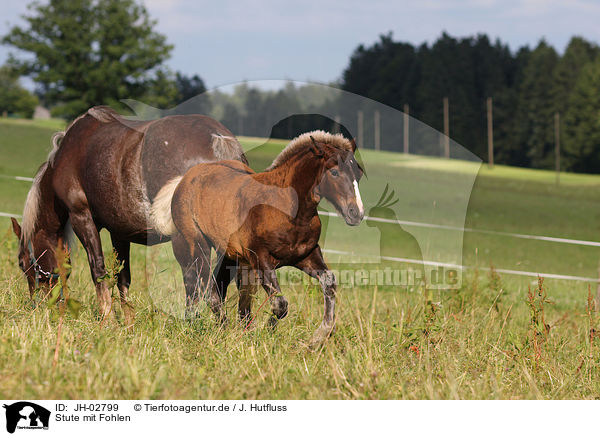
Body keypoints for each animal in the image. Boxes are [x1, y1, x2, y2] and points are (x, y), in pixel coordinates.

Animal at [9, 107, 245, 322]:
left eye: (21, 263)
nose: (39, 305)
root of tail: (218, 140)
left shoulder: (81, 217)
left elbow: (98, 269)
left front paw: (108, 319)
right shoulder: (120, 232)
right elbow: (123, 277)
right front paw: (128, 324)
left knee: (201, 284)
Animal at [152, 129, 364, 344]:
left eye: (358, 174)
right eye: (334, 172)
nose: (356, 213)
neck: (287, 208)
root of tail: (185, 178)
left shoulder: (306, 255)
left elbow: (328, 282)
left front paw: (318, 337)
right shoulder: (260, 257)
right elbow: (280, 304)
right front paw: (265, 333)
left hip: (229, 255)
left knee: (215, 289)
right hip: (194, 245)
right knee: (199, 286)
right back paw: (212, 328)